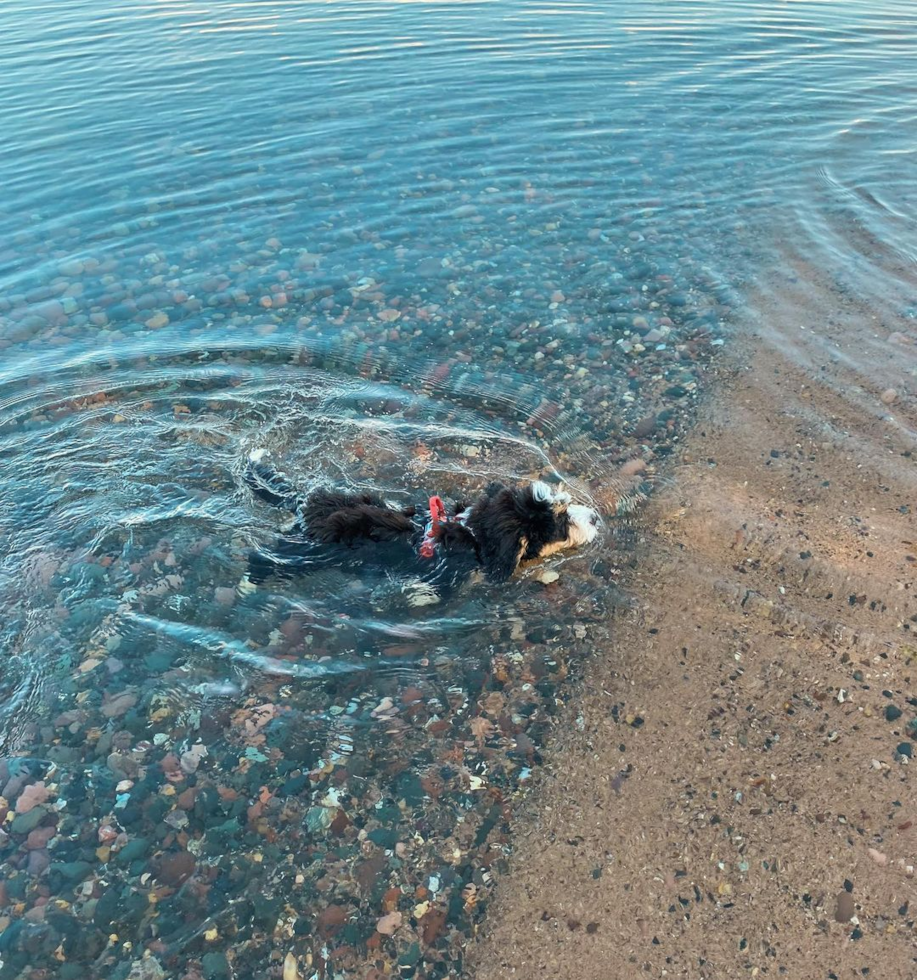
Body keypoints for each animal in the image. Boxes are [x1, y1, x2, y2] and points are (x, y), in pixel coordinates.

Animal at [240, 452, 600, 604]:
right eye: (562, 522)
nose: (595, 518)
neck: (475, 537)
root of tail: (305, 503)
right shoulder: (439, 581)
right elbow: (425, 596)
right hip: (306, 552)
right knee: (266, 559)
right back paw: (248, 585)